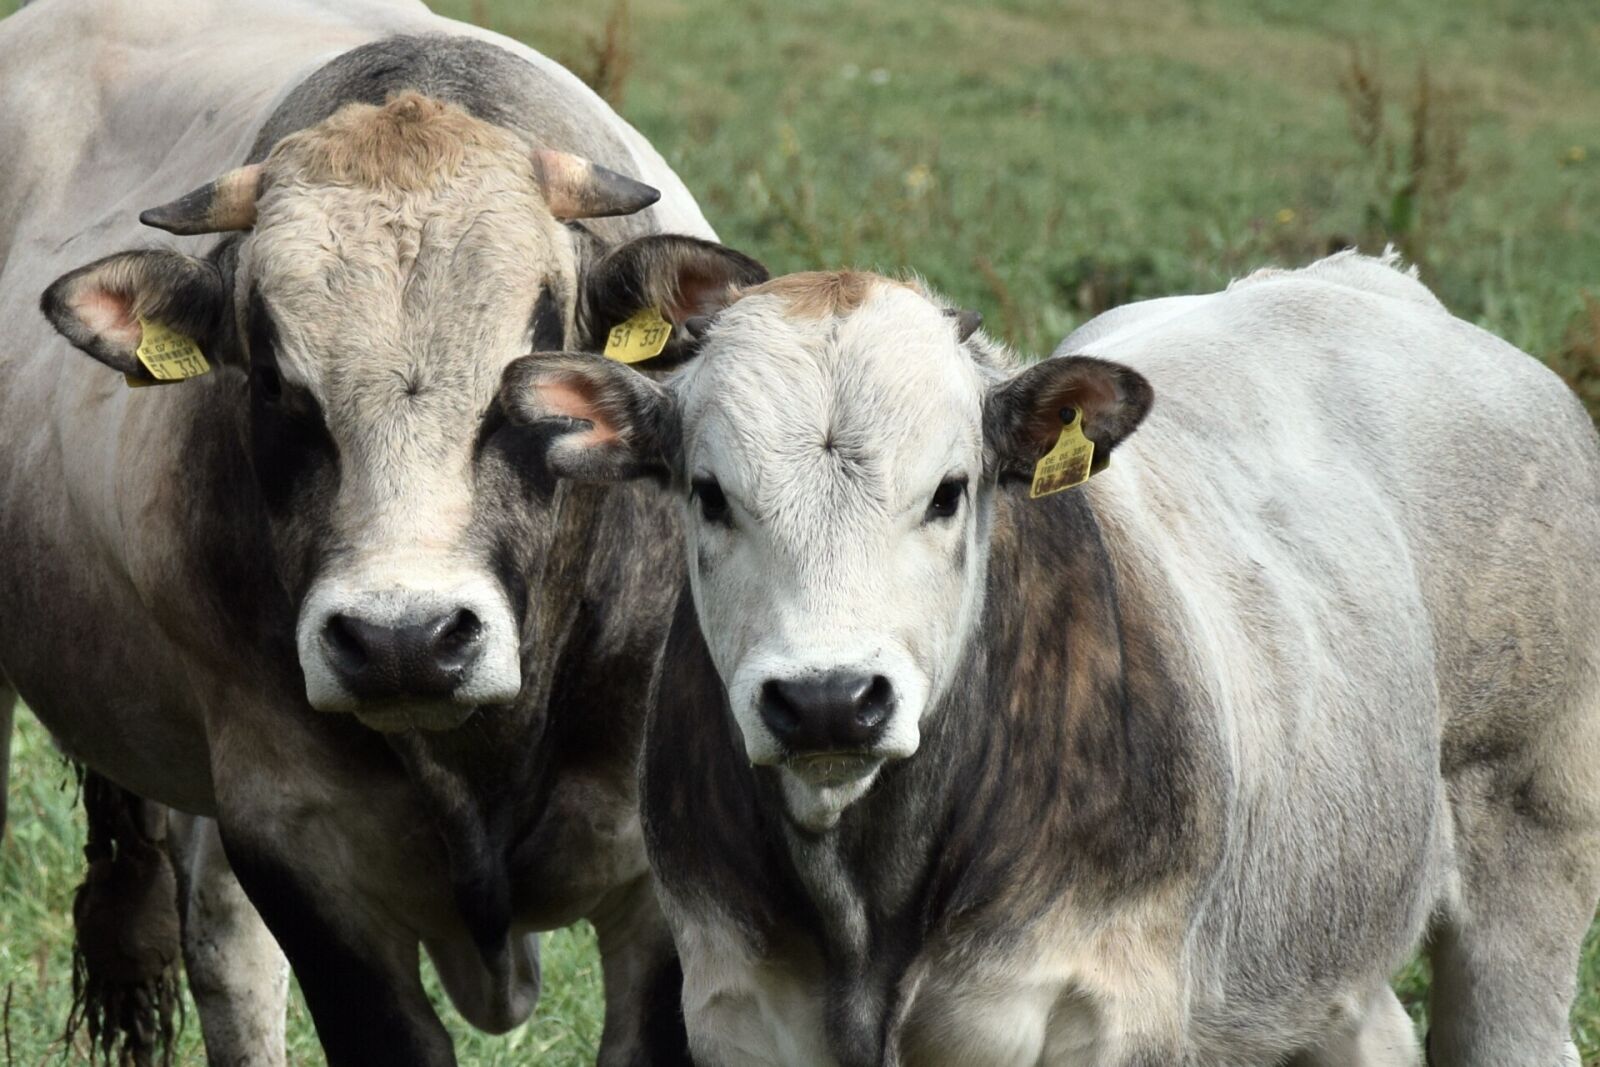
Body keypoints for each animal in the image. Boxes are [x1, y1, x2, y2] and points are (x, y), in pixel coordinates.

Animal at [498, 256, 1600, 1066]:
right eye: (708, 492)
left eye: (950, 489)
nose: (828, 700)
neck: (868, 909)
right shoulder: (737, 1005)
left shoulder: (1096, 1011)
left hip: (1529, 871)